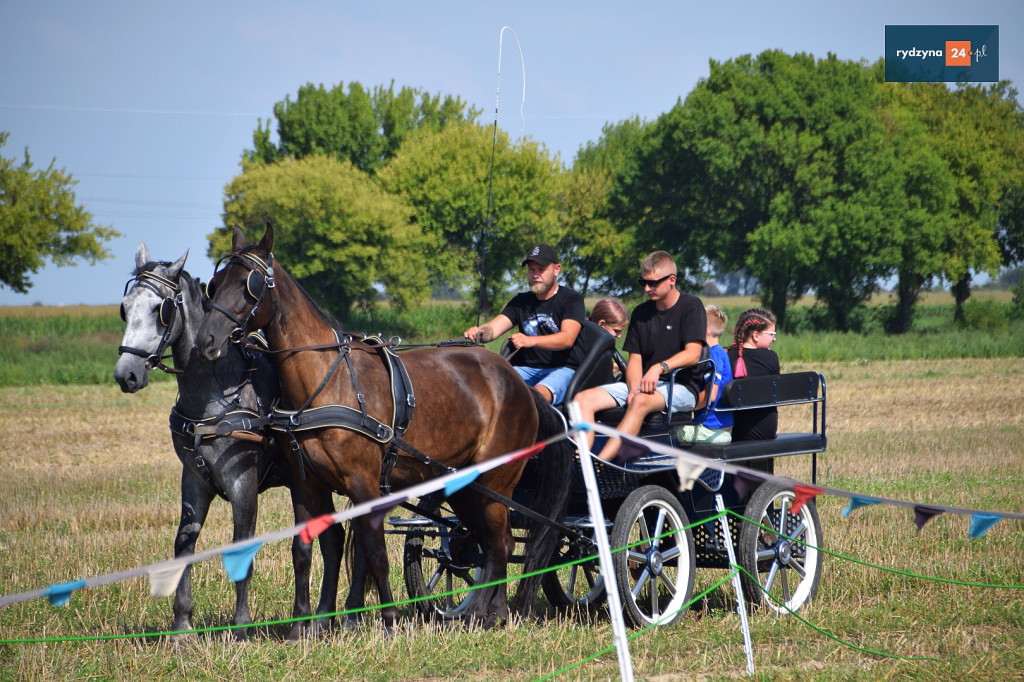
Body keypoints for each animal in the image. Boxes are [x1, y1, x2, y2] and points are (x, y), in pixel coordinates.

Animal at [195, 224, 573, 626]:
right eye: (215, 284)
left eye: (248, 284)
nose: (207, 340)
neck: (328, 380)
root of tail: (520, 385)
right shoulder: (307, 482)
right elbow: (308, 549)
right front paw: (311, 624)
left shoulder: (363, 481)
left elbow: (374, 551)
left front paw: (387, 619)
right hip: (465, 486)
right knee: (489, 543)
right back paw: (488, 612)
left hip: (495, 481)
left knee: (500, 543)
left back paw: (486, 612)